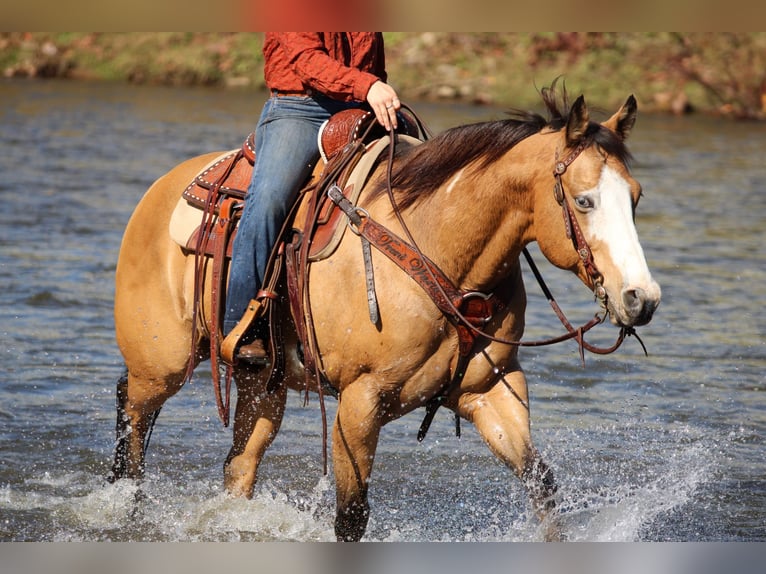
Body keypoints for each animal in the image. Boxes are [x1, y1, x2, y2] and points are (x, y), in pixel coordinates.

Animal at [109, 85, 661, 541]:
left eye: (635, 197)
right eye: (584, 201)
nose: (642, 298)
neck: (439, 249)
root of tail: (161, 188)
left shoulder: (491, 389)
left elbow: (541, 485)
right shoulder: (359, 402)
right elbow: (351, 517)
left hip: (263, 380)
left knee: (239, 465)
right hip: (161, 365)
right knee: (131, 414)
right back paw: (122, 506)